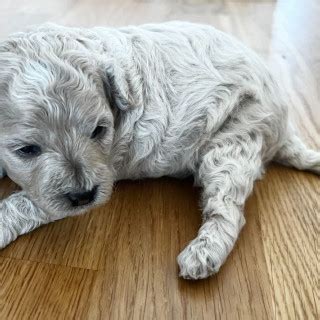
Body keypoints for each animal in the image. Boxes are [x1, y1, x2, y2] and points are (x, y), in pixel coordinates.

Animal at [0, 21, 318, 280]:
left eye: (99, 131)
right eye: (27, 149)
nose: (84, 196)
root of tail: (283, 126)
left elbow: (23, 204)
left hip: (234, 139)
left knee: (228, 208)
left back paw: (203, 253)